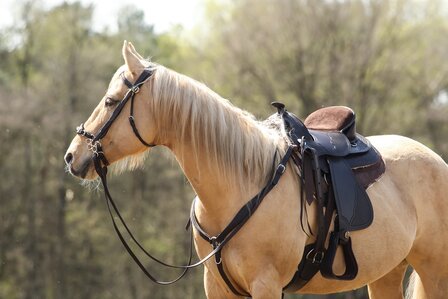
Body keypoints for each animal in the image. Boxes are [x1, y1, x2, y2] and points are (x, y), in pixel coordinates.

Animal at [64, 41, 448, 298]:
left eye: (111, 101)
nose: (72, 156)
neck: (240, 184)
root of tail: (436, 160)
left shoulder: (266, 285)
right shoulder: (218, 287)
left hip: (434, 271)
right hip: (387, 273)